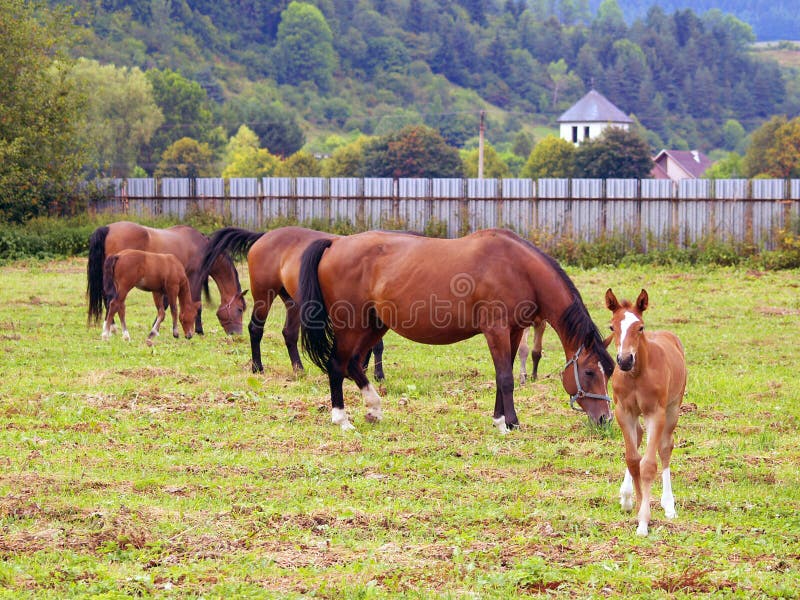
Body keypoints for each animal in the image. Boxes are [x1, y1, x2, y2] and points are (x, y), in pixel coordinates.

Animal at [86, 221, 245, 336]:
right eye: (240, 309)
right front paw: (198, 330)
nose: (237, 334)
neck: (204, 248)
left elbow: (167, 303)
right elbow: (195, 304)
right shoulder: (193, 277)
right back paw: (112, 328)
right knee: (112, 300)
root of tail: (107, 228)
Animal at [202, 227, 386, 378]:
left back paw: (299, 369)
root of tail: (263, 236)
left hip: (293, 302)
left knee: (289, 333)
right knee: (255, 329)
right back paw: (258, 368)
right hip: (264, 295)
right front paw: (376, 374)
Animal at [298, 226, 612, 432]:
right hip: (351, 325)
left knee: (352, 364)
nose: (605, 419)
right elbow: (506, 377)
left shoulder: (513, 332)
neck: (518, 268)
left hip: (374, 325)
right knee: (337, 364)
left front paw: (500, 419)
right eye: (588, 372)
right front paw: (510, 423)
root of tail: (334, 244)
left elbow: (503, 374)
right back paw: (342, 419)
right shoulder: (496, 330)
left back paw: (374, 408)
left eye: (608, 372)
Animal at [608, 288, 688, 536]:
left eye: (640, 327)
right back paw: (626, 497)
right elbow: (633, 459)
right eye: (612, 327)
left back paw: (669, 505)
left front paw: (644, 521)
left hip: (673, 408)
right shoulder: (623, 411)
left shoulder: (656, 413)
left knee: (665, 448)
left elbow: (649, 465)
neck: (636, 374)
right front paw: (635, 503)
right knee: (639, 437)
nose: (624, 360)